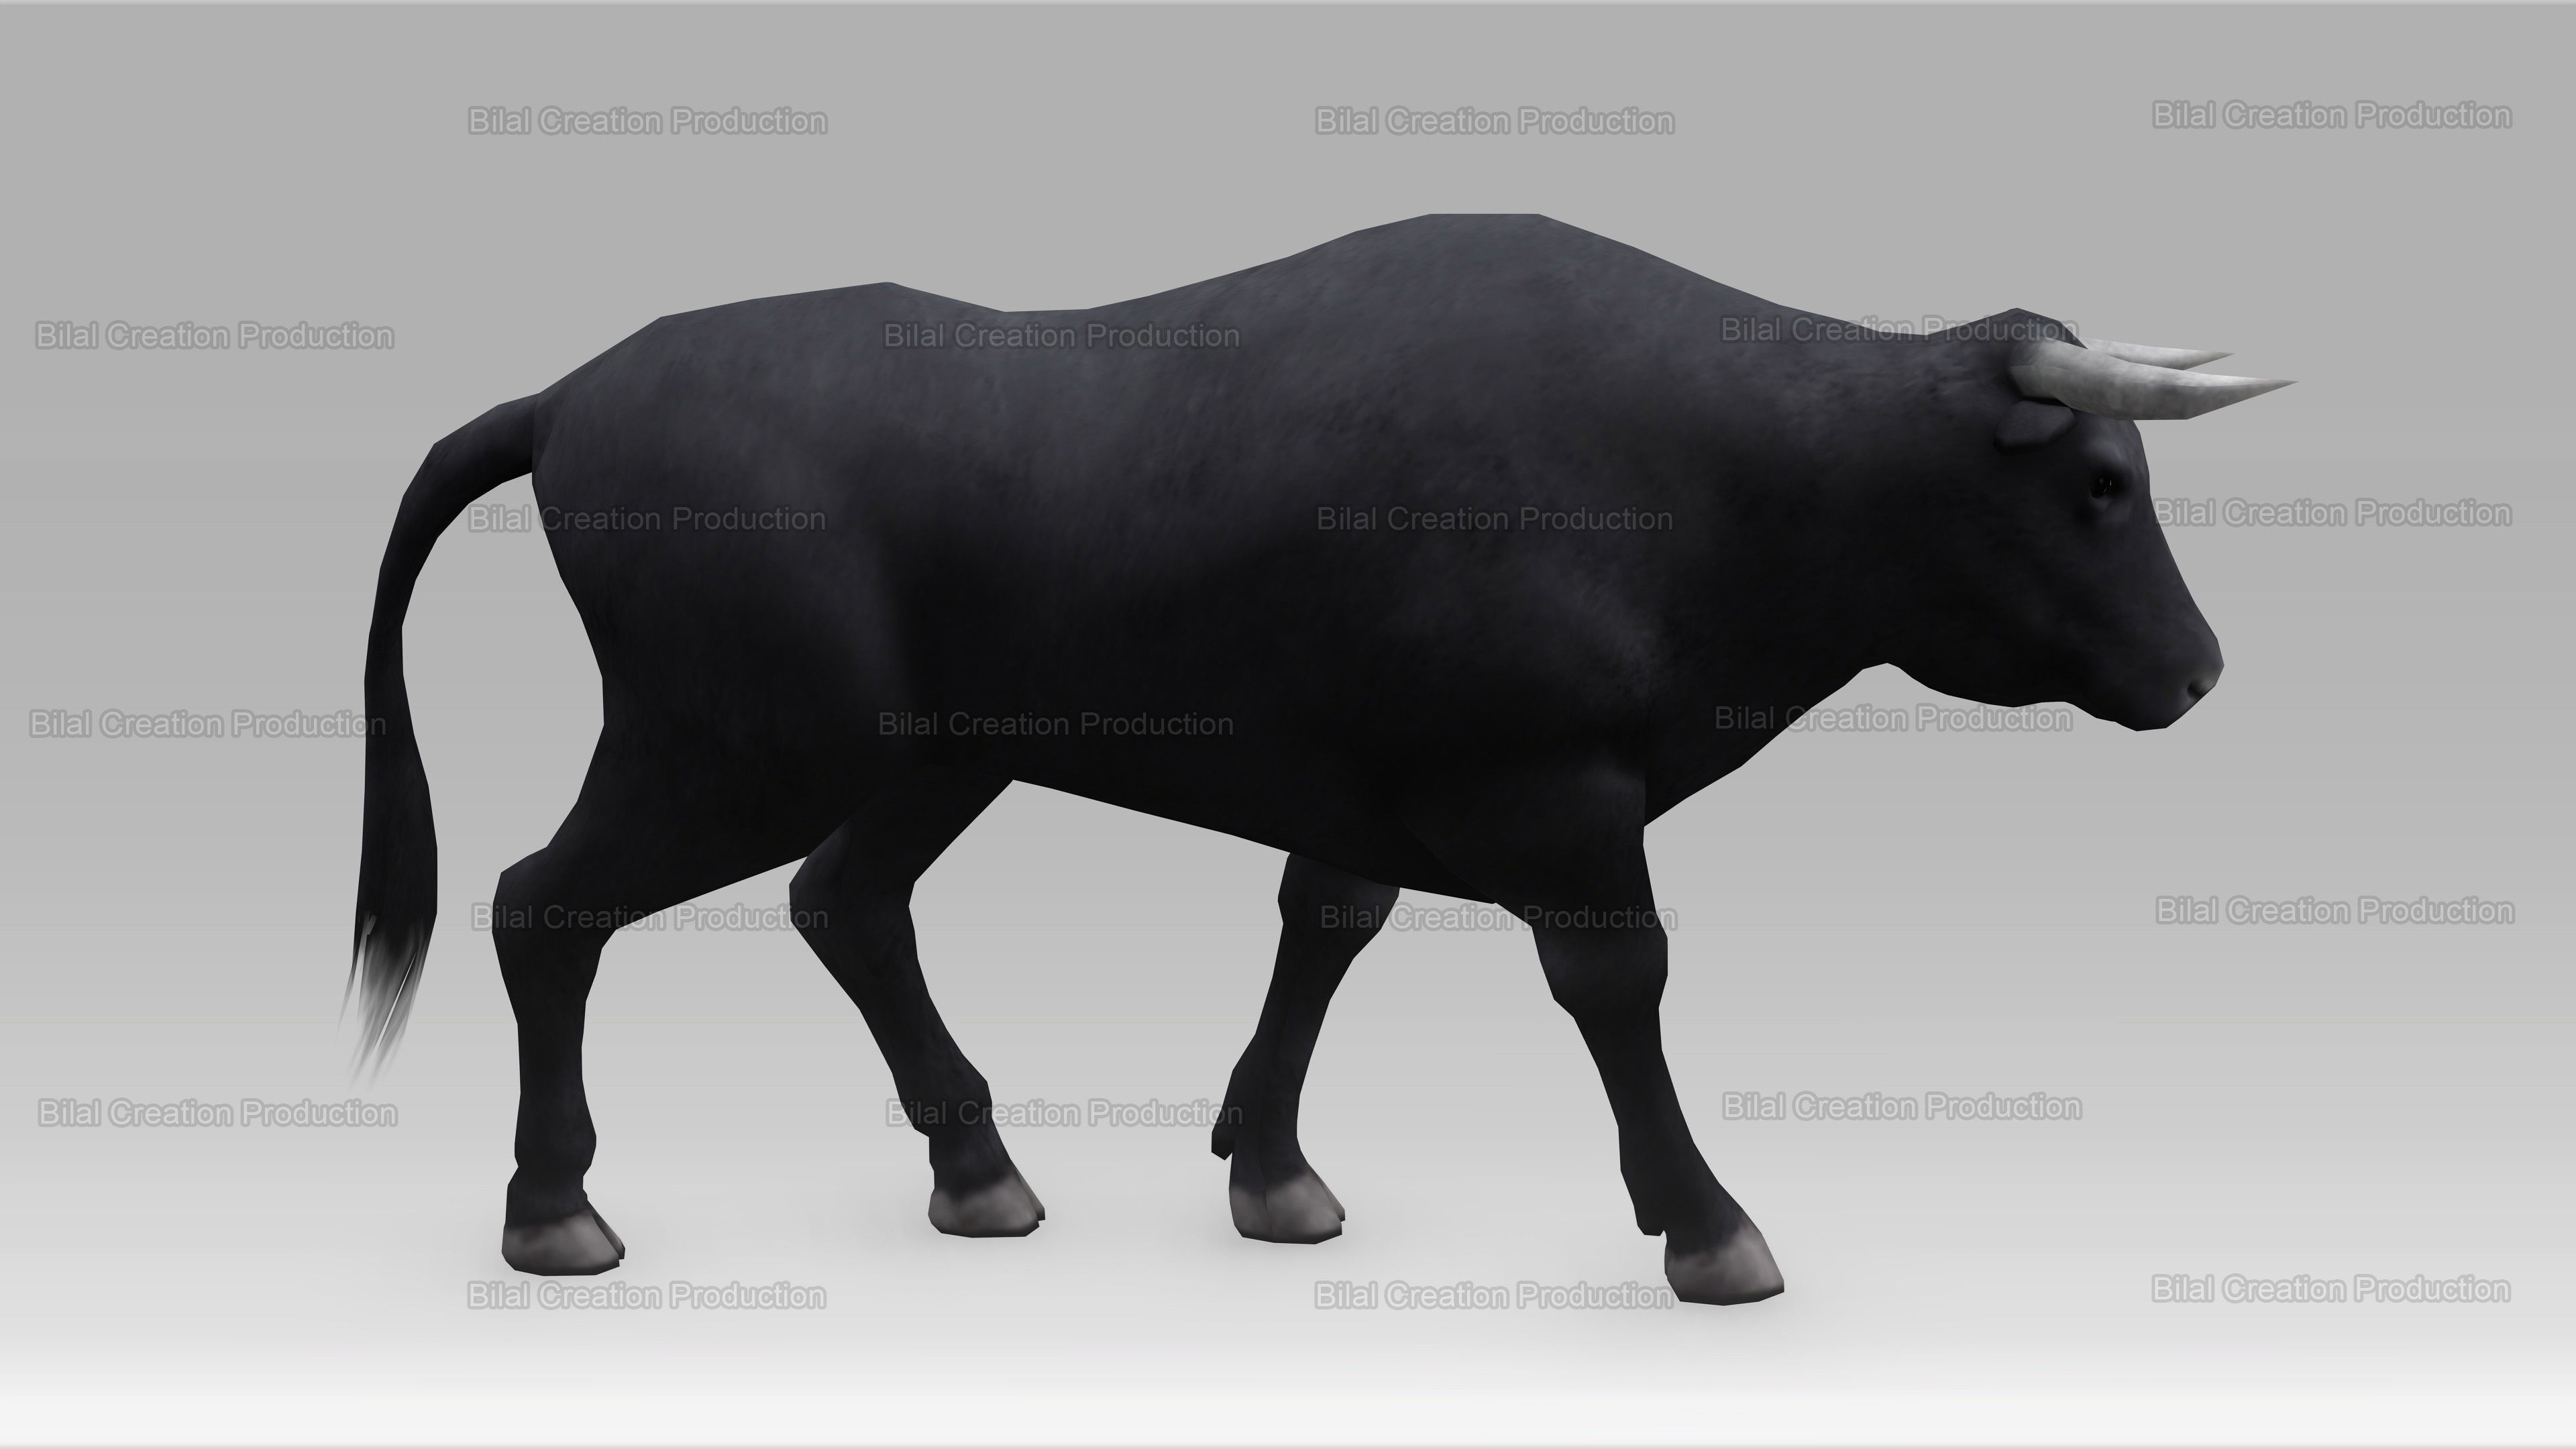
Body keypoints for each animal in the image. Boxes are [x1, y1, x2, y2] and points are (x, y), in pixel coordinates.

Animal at [350, 214, 2287, 1304]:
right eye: (2094, 485)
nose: (2198, 673)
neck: (1732, 466)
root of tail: (568, 395)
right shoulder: (1562, 803)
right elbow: (1619, 986)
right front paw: (1707, 1226)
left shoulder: (1370, 789)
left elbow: (1322, 932)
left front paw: (1270, 1170)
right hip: (728, 743)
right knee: (542, 904)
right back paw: (556, 1212)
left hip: (927, 757)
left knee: (846, 903)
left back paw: (979, 1173)